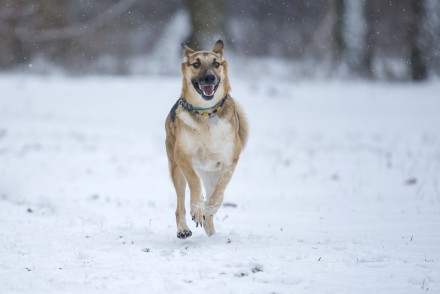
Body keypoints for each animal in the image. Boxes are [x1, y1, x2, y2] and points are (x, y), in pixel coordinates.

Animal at [165, 39, 248, 239]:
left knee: (215, 194)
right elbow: (194, 182)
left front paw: (207, 210)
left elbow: (219, 193)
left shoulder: (229, 161)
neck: (206, 114)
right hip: (176, 170)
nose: (209, 78)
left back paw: (211, 232)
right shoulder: (182, 156)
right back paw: (183, 229)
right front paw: (197, 209)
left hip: (211, 174)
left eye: (216, 64)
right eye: (196, 64)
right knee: (180, 205)